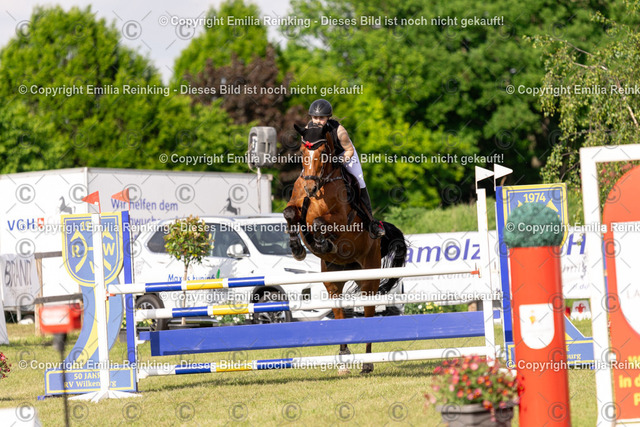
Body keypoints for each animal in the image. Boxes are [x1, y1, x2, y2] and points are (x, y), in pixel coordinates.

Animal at [283, 123, 407, 374]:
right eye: (302, 151)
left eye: (323, 154)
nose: (310, 187)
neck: (321, 185)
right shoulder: (297, 206)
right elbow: (291, 213)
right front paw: (298, 248)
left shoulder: (340, 218)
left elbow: (319, 222)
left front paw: (323, 242)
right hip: (333, 281)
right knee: (339, 313)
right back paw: (343, 359)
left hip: (369, 279)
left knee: (369, 314)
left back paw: (367, 363)